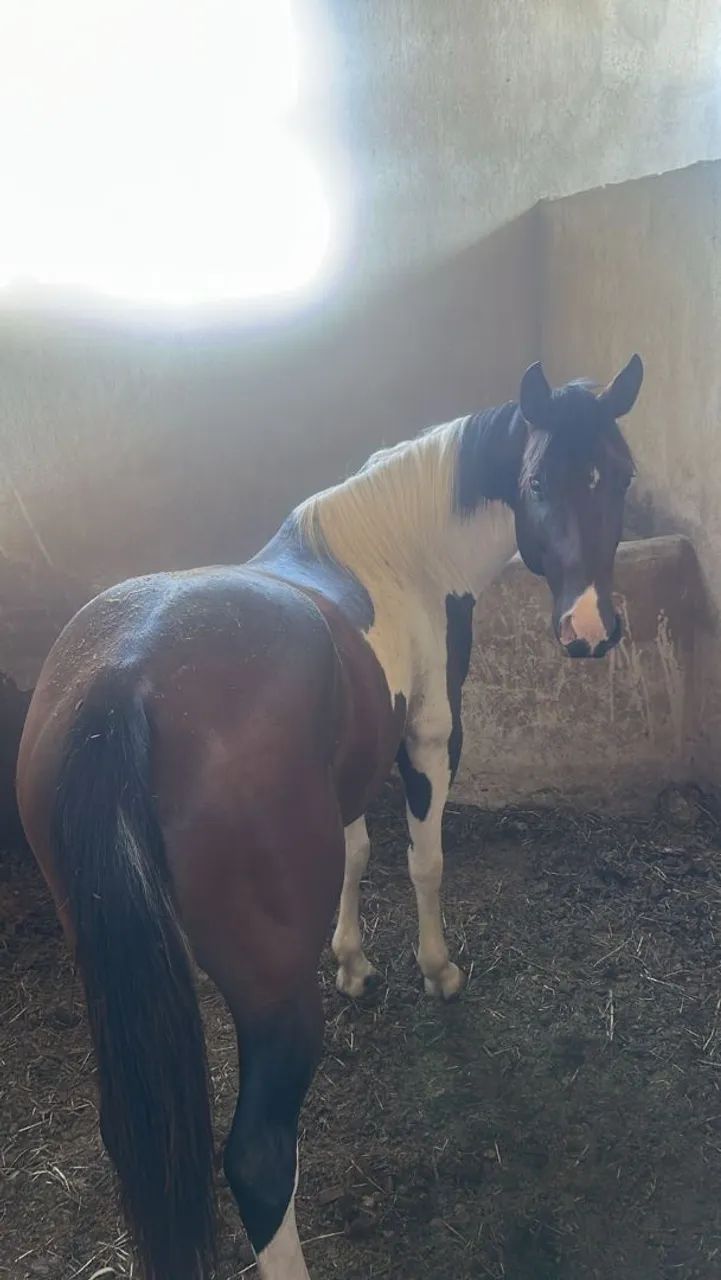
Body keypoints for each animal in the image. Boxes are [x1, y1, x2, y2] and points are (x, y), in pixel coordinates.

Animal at [16, 354, 643, 1280]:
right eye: (537, 480)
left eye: (620, 475)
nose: (589, 630)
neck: (398, 549)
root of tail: (121, 682)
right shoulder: (428, 740)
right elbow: (422, 861)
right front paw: (435, 970)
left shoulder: (349, 776)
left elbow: (354, 854)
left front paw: (353, 963)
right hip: (272, 1000)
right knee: (258, 1156)